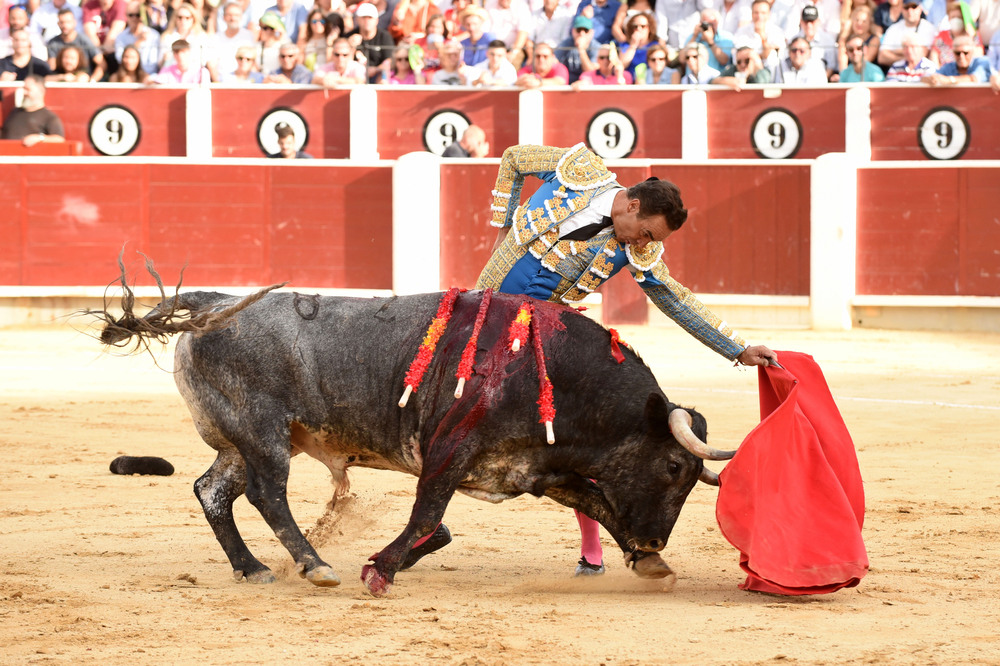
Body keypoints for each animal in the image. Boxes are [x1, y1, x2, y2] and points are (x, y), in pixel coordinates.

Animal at [97, 274, 732, 596]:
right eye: (674, 467)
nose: (656, 538)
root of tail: (216, 302)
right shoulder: (450, 447)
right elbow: (428, 512)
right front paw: (379, 569)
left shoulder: (539, 470)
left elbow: (598, 502)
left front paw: (647, 563)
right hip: (264, 435)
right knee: (266, 494)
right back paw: (315, 565)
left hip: (237, 442)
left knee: (212, 491)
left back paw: (252, 567)